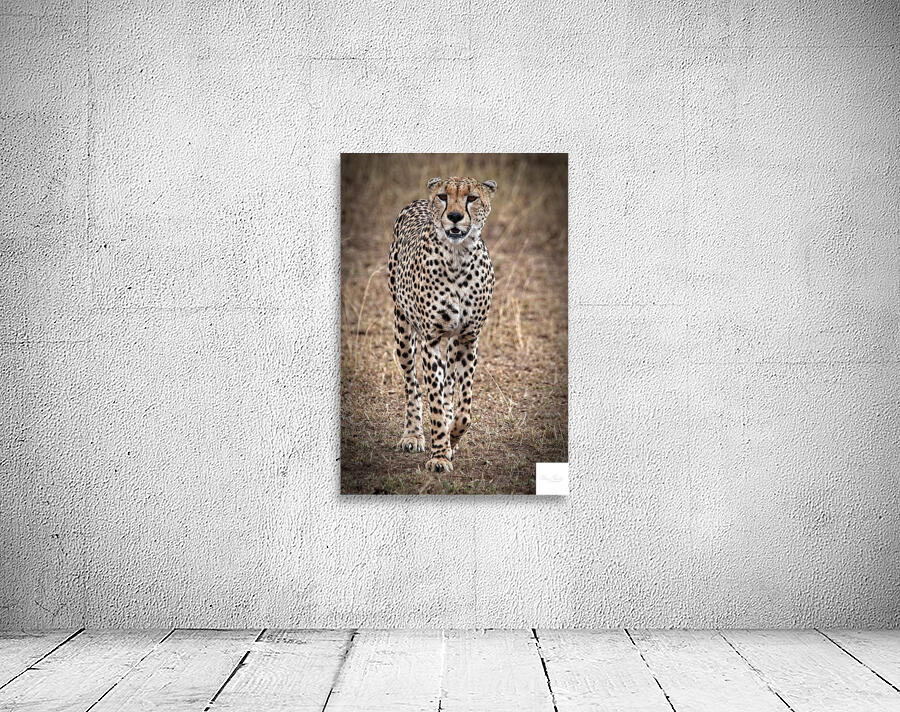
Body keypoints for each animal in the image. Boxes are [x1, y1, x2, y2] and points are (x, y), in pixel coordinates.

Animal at [388, 176, 497, 473]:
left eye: (472, 198)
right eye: (443, 197)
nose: (455, 216)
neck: (458, 256)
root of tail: (416, 201)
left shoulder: (469, 338)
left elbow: (464, 407)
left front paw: (452, 438)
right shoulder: (432, 338)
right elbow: (434, 400)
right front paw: (439, 454)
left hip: (453, 341)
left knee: (448, 383)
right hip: (402, 328)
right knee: (412, 385)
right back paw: (413, 434)